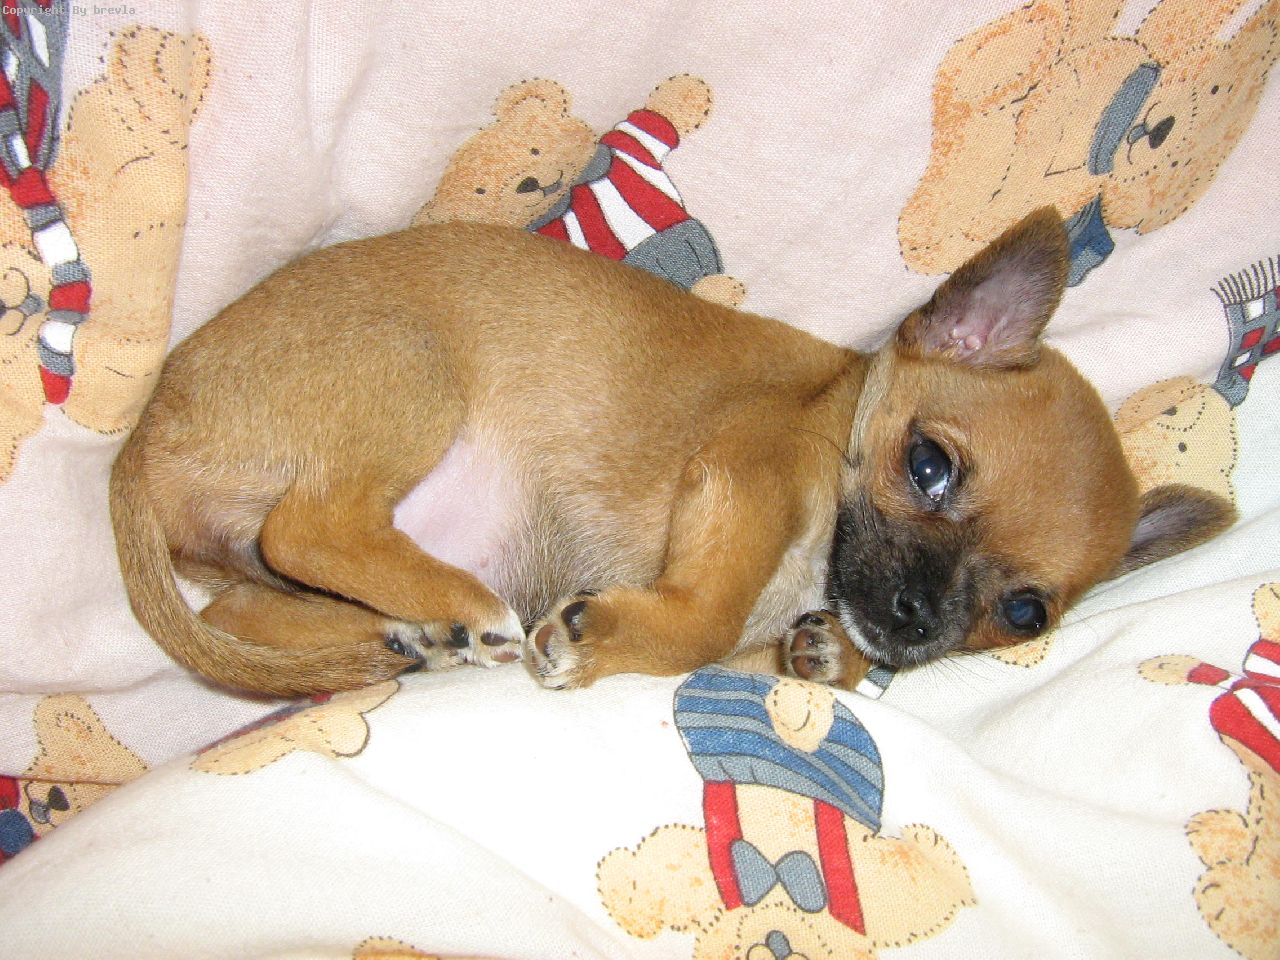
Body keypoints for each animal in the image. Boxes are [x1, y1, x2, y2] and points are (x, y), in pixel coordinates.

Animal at [108, 207, 1235, 697]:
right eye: (928, 466)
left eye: (1024, 615)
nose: (916, 621)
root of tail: (145, 433)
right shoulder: (750, 476)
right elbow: (705, 621)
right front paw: (611, 639)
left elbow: (777, 646)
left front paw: (825, 657)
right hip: (408, 374)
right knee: (312, 527)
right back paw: (459, 608)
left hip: (270, 564)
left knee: (254, 608)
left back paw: (418, 634)